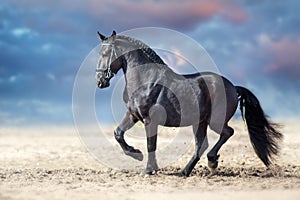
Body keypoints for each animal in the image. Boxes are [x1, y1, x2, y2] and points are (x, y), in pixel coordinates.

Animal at [95, 30, 282, 176]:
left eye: (104, 54)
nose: (100, 81)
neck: (145, 80)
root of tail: (233, 87)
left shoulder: (150, 120)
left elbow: (151, 144)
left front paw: (149, 169)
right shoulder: (133, 115)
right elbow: (118, 133)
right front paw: (136, 154)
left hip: (214, 121)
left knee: (227, 133)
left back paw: (211, 162)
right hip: (200, 122)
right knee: (202, 144)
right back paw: (185, 171)